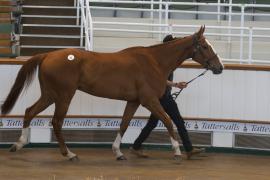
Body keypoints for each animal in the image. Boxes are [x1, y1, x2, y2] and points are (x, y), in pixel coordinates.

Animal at [0, 26, 224, 161]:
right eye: (205, 46)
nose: (219, 67)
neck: (155, 61)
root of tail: (47, 55)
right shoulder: (149, 100)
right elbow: (169, 120)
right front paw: (177, 151)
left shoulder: (134, 101)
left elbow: (124, 124)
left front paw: (118, 152)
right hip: (63, 96)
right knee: (56, 121)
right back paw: (69, 154)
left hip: (49, 95)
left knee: (29, 111)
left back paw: (18, 144)